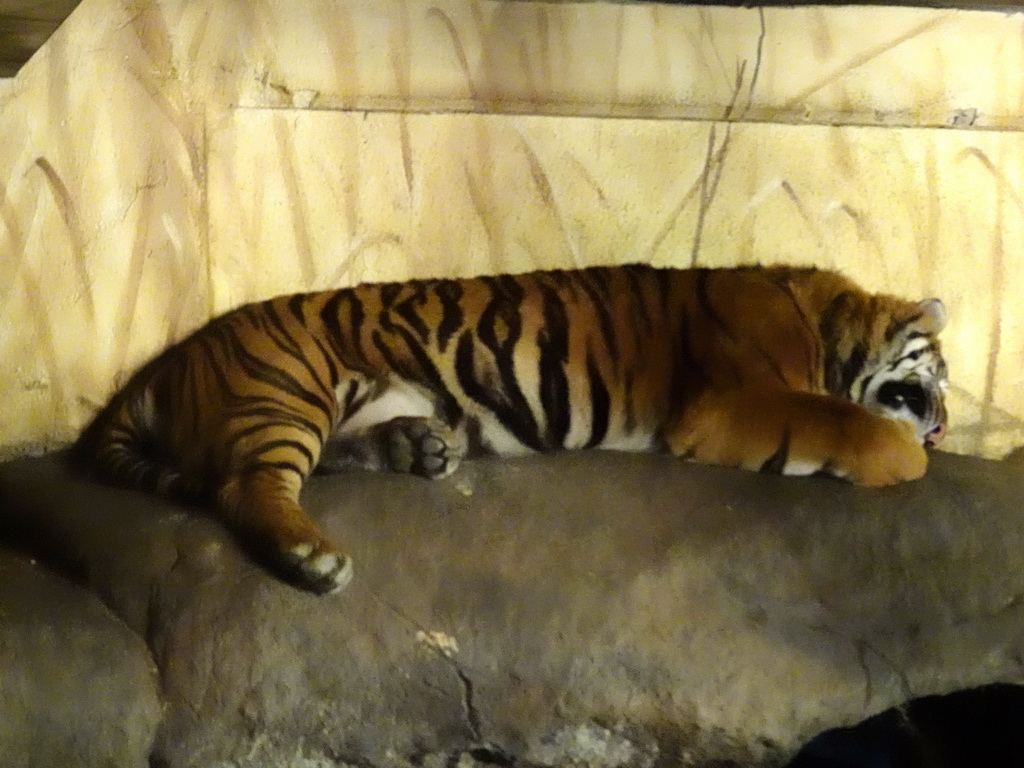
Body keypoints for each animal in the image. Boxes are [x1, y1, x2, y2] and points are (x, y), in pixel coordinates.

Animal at [75, 264, 946, 593]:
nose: (941, 429)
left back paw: (423, 447)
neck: (827, 323)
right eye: (935, 382)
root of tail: (164, 363)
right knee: (244, 486)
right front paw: (903, 458)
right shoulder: (730, 398)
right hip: (283, 398)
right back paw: (312, 556)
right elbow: (833, 416)